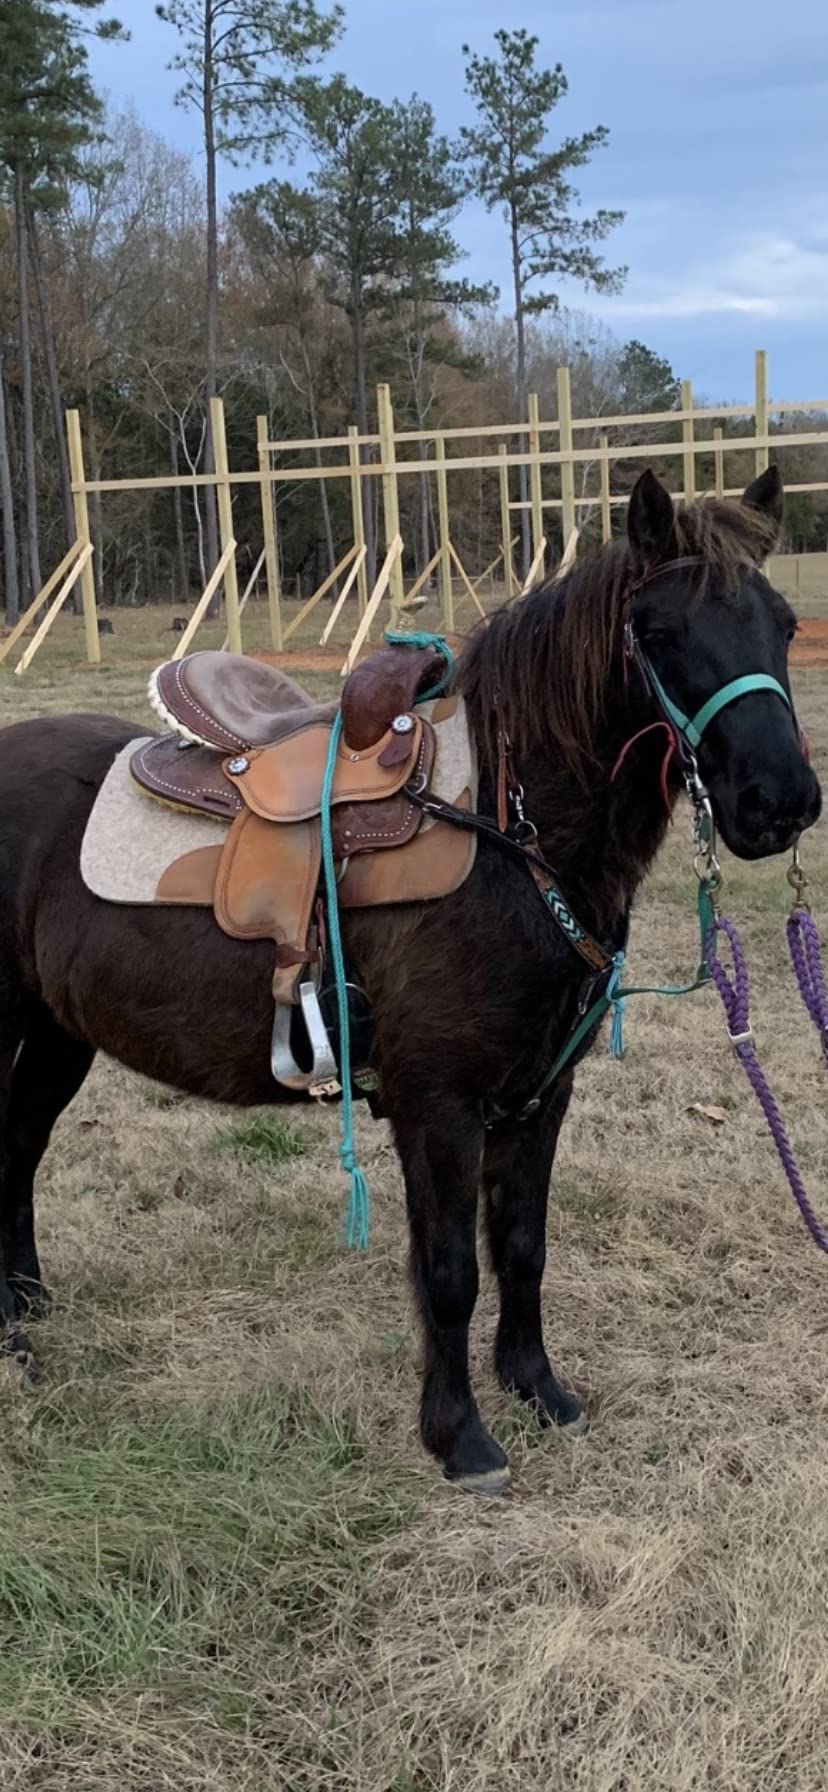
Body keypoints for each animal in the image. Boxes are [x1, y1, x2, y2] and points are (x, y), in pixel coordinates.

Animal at [0, 466, 819, 1493]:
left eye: (783, 623)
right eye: (662, 633)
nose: (779, 801)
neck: (509, 838)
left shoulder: (539, 1096)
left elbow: (521, 1247)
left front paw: (538, 1389)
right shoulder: (439, 1104)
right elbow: (450, 1272)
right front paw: (460, 1436)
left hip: (57, 1035)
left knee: (19, 1152)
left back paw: (25, 1312)